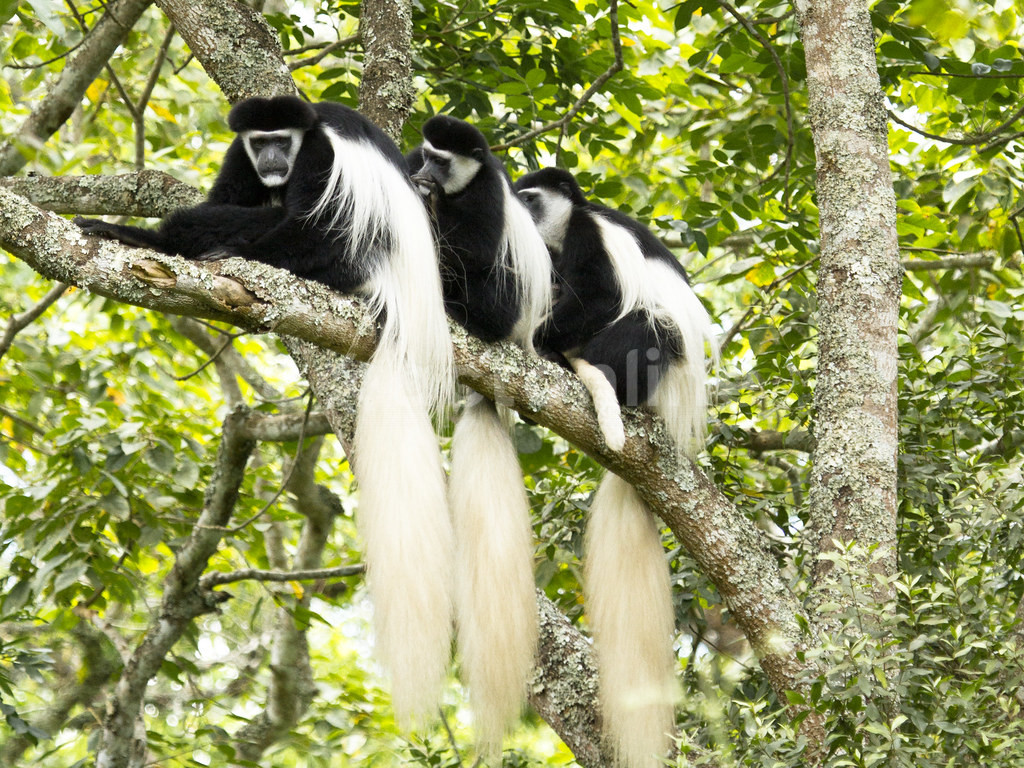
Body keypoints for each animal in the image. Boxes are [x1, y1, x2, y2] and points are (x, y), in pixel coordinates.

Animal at [78, 96, 460, 729]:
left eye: (284, 140)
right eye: (262, 143)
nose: (275, 161)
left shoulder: (321, 159)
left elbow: (305, 222)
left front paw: (181, 236)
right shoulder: (241, 154)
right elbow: (231, 192)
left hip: (352, 251)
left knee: (311, 233)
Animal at [516, 167, 716, 768]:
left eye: (531, 198)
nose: (517, 211)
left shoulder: (590, 238)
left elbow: (602, 295)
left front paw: (542, 339)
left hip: (656, 367)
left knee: (652, 326)